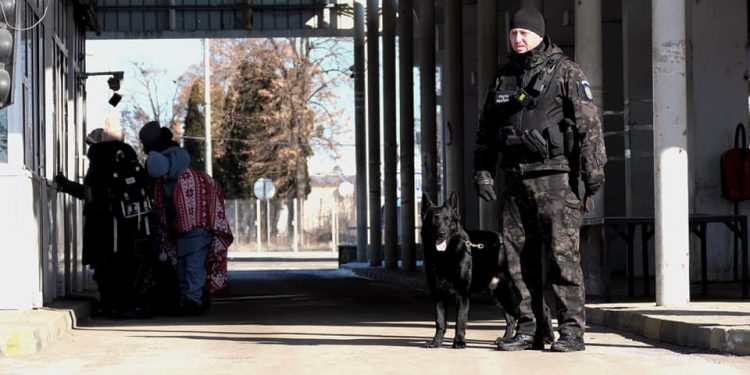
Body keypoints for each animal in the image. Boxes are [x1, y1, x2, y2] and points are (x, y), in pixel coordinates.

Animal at [426, 194, 556, 350]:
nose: (441, 234)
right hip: (500, 295)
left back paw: (547, 338)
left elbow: (460, 320)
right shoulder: (437, 295)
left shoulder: (462, 295)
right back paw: (507, 339)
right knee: (511, 318)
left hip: (519, 291)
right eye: (434, 219)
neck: (445, 256)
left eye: (448, 220)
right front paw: (436, 342)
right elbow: (440, 321)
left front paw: (459, 342)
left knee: (544, 311)